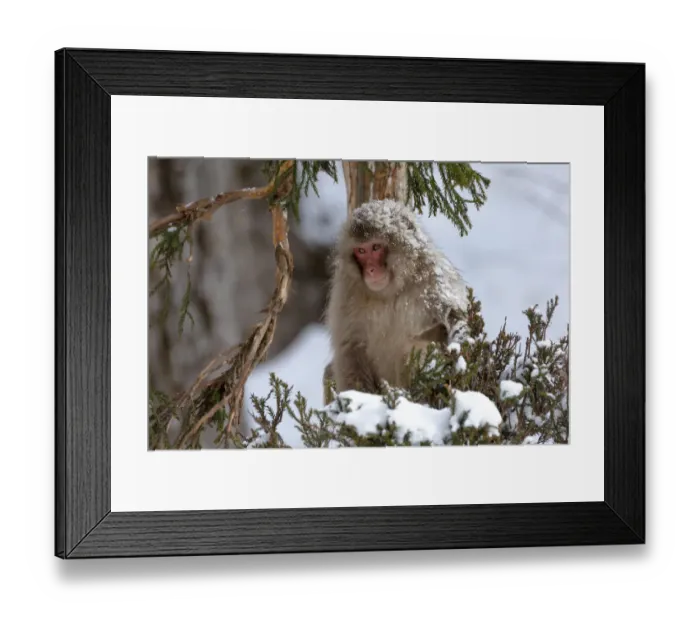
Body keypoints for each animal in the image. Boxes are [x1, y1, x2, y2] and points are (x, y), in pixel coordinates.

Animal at [323, 198, 470, 403]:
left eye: (376, 247)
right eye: (361, 251)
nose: (371, 270)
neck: (390, 292)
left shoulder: (432, 278)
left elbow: (452, 313)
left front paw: (458, 339)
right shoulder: (346, 291)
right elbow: (351, 347)